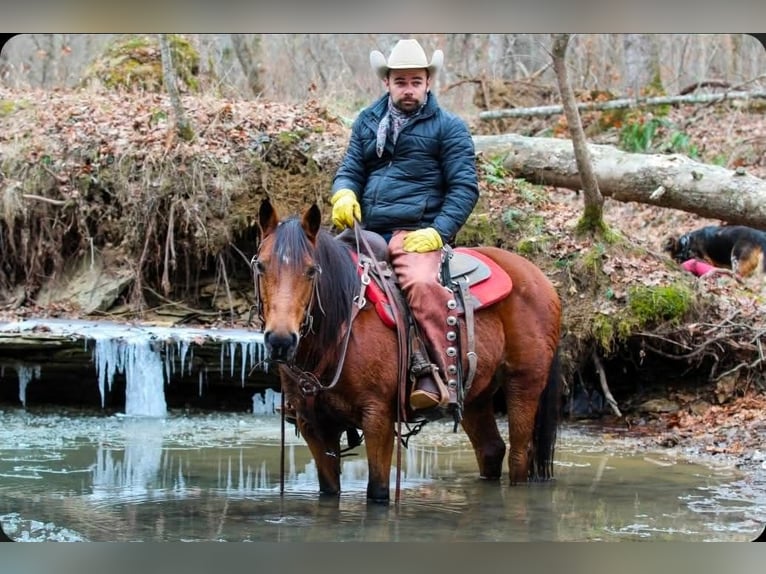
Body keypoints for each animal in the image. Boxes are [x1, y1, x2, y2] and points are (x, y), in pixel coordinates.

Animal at [253, 198, 563, 503]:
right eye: (261, 267)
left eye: (311, 270)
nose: (281, 341)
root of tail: (539, 277)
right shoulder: (314, 426)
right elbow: (329, 491)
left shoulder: (378, 417)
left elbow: (377, 492)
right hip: (476, 396)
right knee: (491, 449)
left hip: (525, 382)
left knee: (520, 454)